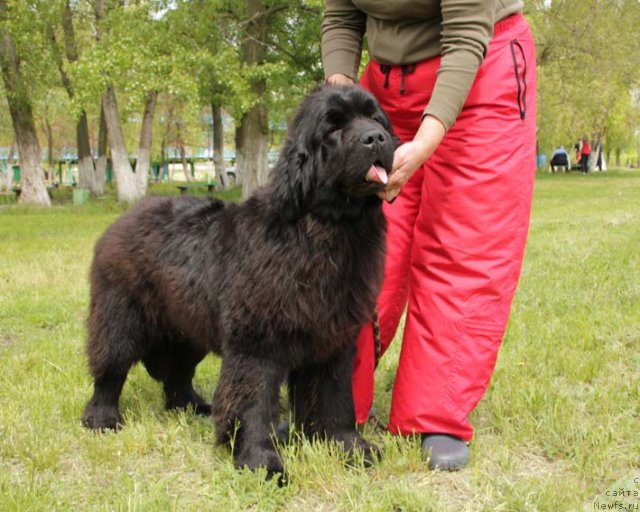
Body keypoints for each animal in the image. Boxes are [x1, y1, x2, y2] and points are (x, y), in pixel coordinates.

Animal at [83, 84, 398, 480]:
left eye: (376, 118)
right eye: (334, 127)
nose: (376, 138)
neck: (327, 229)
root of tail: (126, 216)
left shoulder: (333, 339)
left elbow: (335, 397)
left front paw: (346, 446)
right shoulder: (257, 342)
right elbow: (254, 402)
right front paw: (259, 460)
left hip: (187, 327)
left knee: (178, 373)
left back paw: (192, 406)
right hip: (120, 316)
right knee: (110, 368)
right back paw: (102, 418)